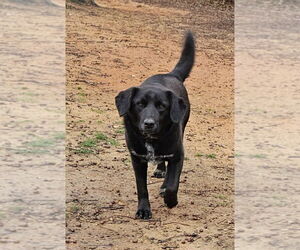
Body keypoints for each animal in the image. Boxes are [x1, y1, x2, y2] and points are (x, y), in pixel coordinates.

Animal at [115, 30, 195, 219]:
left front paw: (170, 200)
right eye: (140, 104)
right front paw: (144, 209)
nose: (149, 124)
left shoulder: (178, 155)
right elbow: (141, 188)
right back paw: (160, 169)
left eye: (161, 106)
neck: (151, 139)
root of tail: (171, 74)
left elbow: (173, 184)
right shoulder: (137, 159)